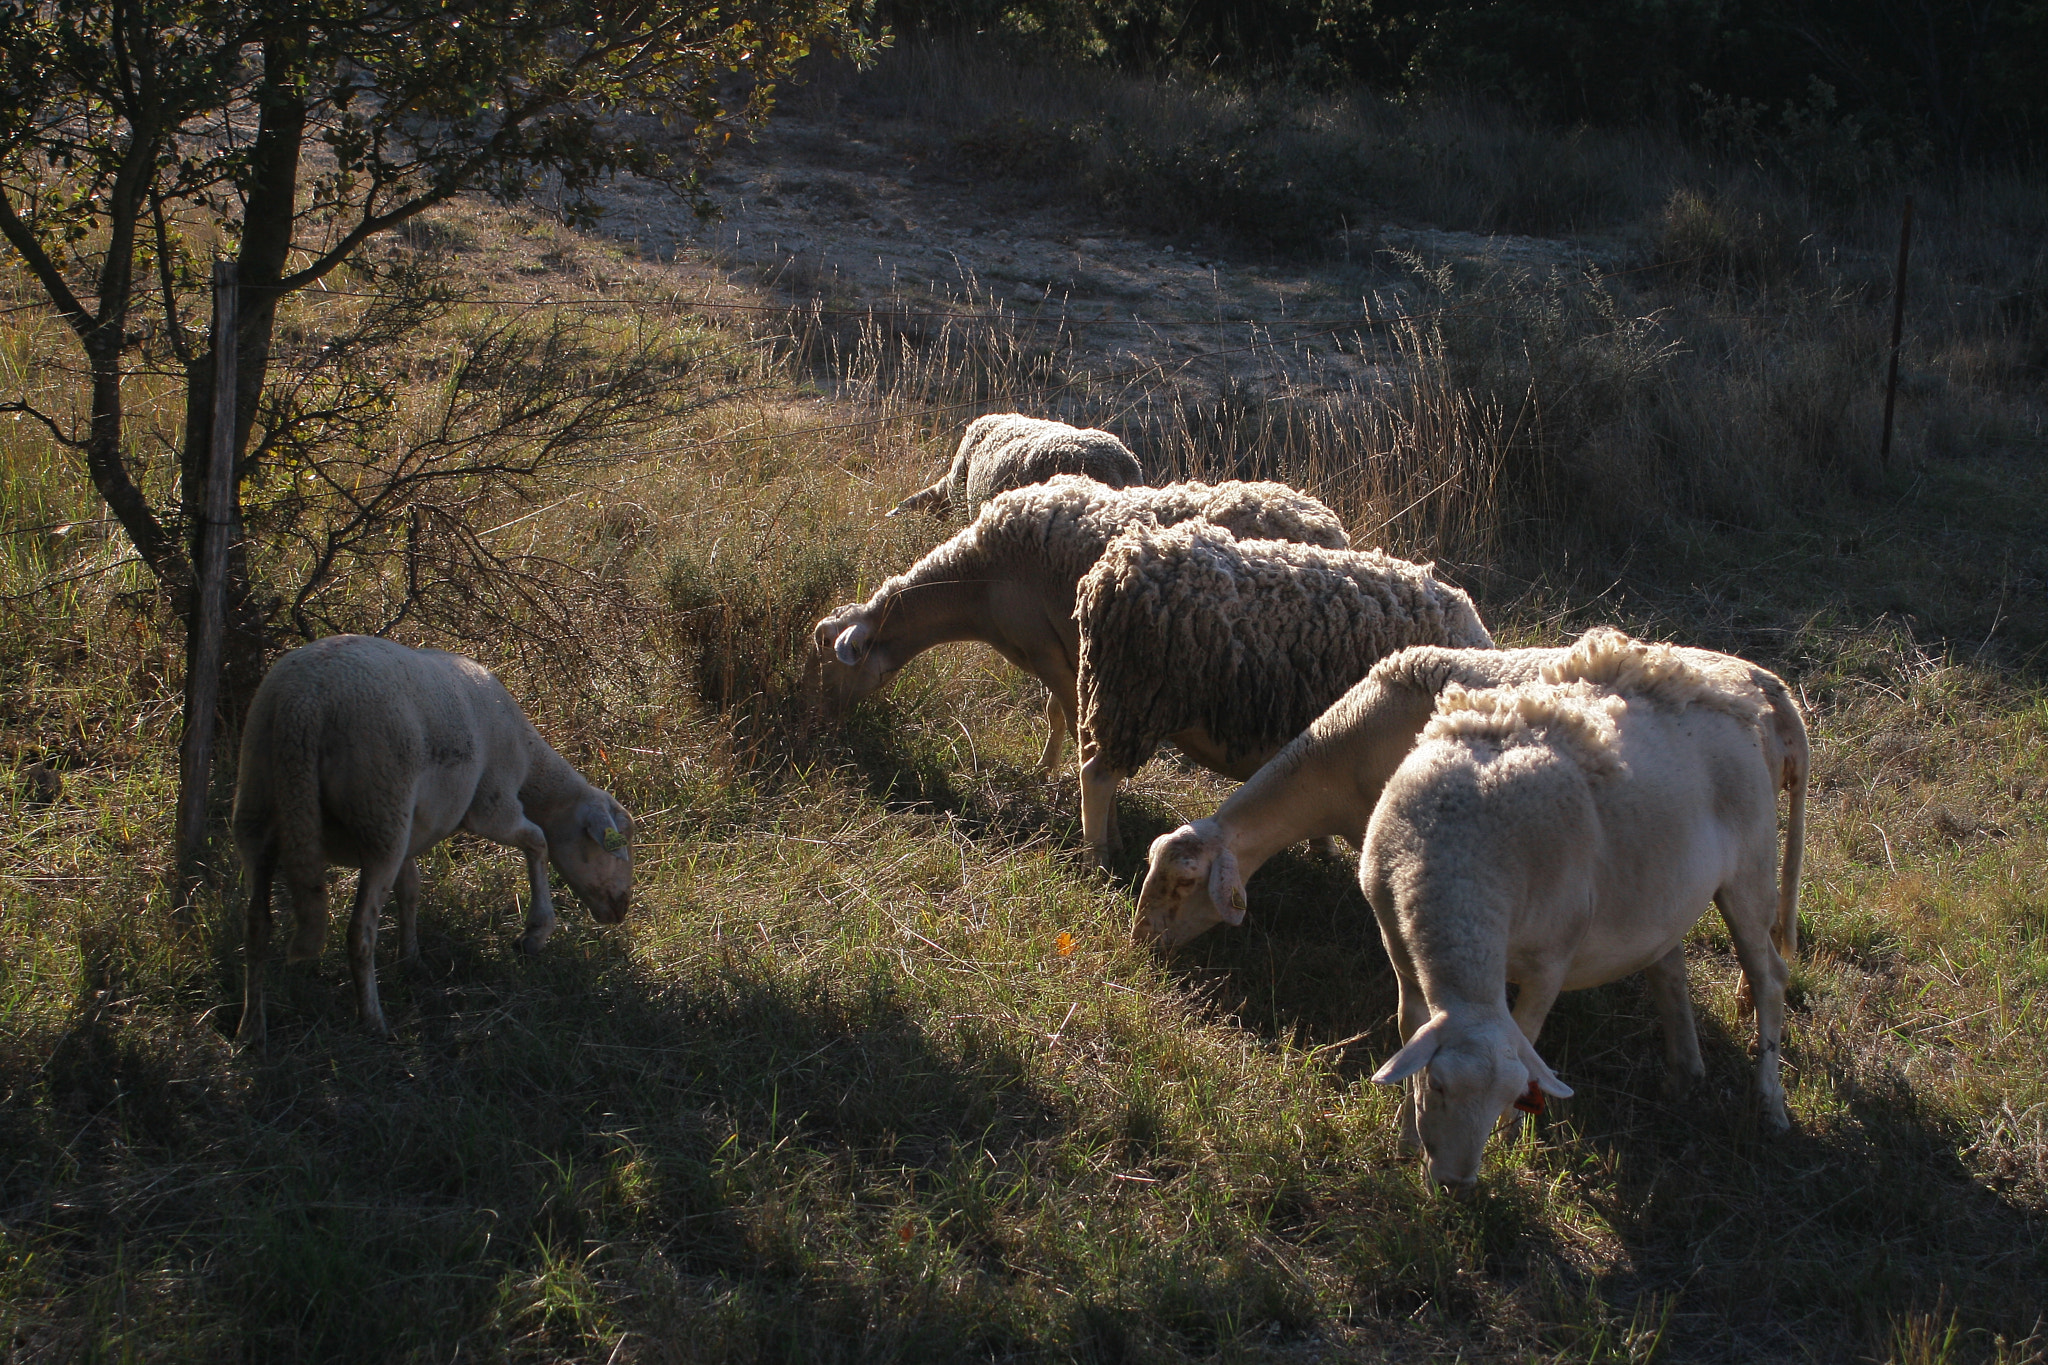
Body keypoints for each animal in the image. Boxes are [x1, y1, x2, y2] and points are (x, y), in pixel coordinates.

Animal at [232, 634, 630, 1039]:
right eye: (617, 846)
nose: (622, 909)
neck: (530, 760)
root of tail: (303, 704)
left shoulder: (414, 829)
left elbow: (410, 889)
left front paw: (411, 960)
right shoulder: (492, 804)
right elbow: (538, 841)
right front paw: (534, 933)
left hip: (258, 803)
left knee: (256, 924)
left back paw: (252, 1027)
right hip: (380, 811)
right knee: (360, 931)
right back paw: (373, 1021)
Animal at [815, 470, 1343, 769]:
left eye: (831, 668)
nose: (820, 727)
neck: (974, 583)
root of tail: (1328, 525)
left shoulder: (1043, 647)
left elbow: (1070, 719)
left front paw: (1062, 776)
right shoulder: (1058, 649)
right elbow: (1055, 713)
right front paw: (1044, 769)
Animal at [1073, 517, 1490, 859]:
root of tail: (1113, 571)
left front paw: (1322, 848)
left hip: (1106, 696)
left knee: (1092, 762)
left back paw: (1113, 840)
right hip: (1138, 699)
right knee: (1096, 777)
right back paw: (1099, 857)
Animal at [1368, 626, 1802, 1186]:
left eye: (1511, 1094)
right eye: (1439, 1086)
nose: (1456, 1185)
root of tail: (1747, 699)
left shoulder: (1550, 962)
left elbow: (1527, 1034)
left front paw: (1507, 1136)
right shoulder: (1397, 946)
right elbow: (1409, 1029)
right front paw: (1405, 1133)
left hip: (1750, 869)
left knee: (1768, 975)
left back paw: (1769, 1102)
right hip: (1666, 889)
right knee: (1671, 969)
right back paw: (1683, 1077)